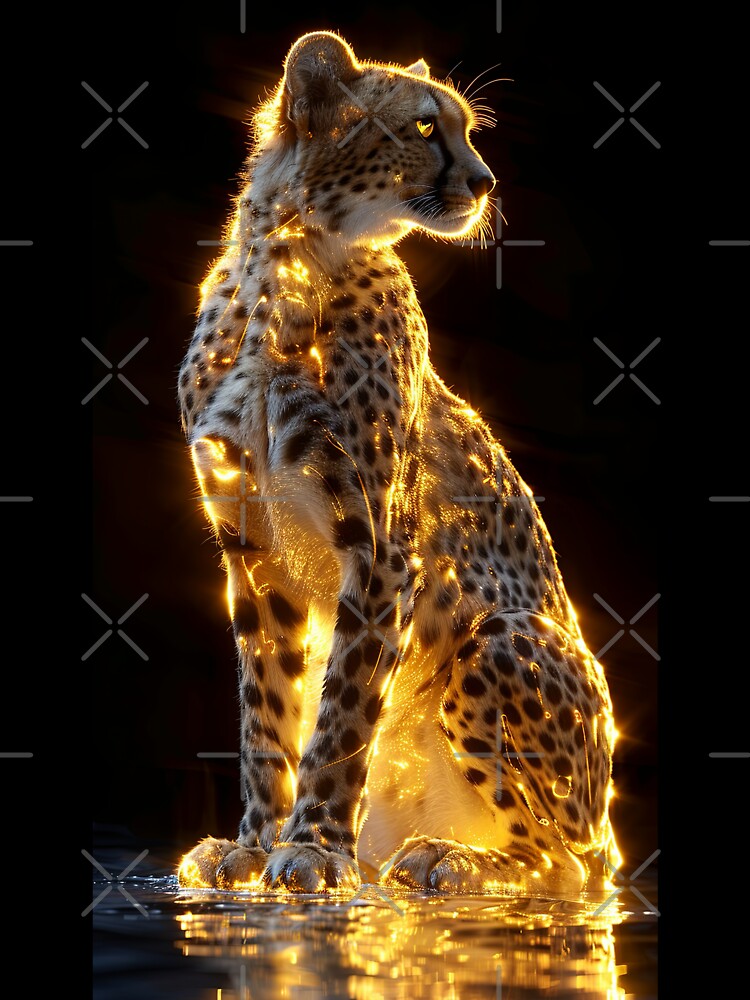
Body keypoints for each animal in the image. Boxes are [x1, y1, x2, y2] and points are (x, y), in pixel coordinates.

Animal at [177, 31, 620, 895]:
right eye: (421, 127)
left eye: (466, 129)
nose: (485, 182)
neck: (290, 266)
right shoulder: (252, 551)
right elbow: (267, 709)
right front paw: (254, 843)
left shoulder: (385, 551)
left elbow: (344, 711)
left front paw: (313, 846)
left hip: (503, 636)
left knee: (577, 866)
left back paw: (454, 859)